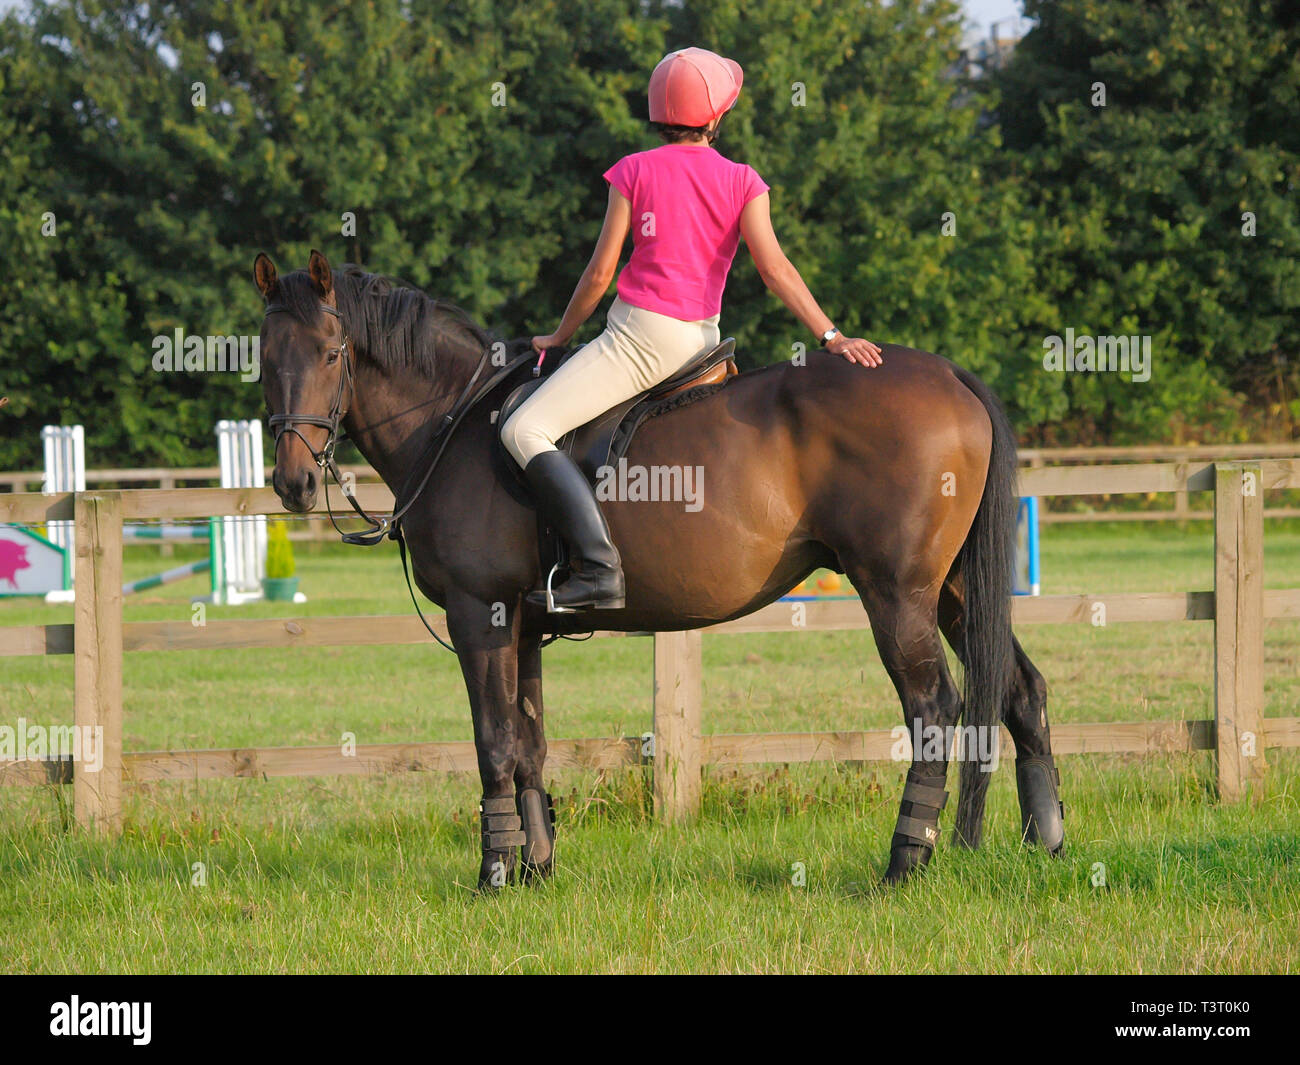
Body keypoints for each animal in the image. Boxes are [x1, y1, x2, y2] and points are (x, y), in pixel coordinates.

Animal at [253, 252, 1066, 889]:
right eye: (262, 356)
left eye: (332, 352)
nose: (293, 480)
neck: (456, 422)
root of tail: (952, 376)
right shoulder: (522, 627)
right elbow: (529, 746)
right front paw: (536, 867)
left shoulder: (478, 615)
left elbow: (493, 743)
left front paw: (493, 873)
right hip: (954, 591)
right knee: (1021, 690)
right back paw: (1047, 843)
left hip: (897, 594)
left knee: (933, 707)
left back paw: (905, 861)